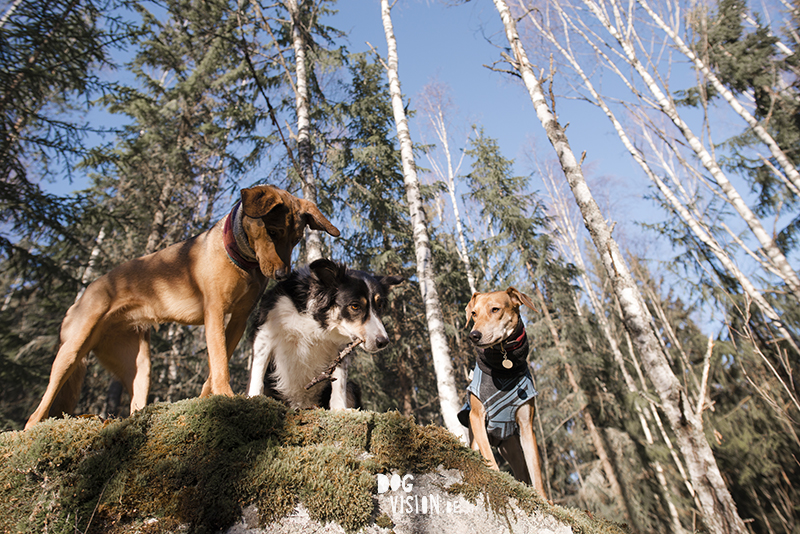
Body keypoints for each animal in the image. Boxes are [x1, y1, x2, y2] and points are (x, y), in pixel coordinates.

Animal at [25, 186, 338, 430]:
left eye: (296, 239)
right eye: (273, 231)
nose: (283, 275)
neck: (239, 257)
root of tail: (82, 296)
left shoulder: (237, 320)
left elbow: (215, 367)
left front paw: (208, 400)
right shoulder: (214, 313)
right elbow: (219, 363)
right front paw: (226, 395)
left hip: (139, 365)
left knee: (135, 403)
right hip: (71, 352)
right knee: (38, 409)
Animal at [460, 288, 548, 502]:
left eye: (495, 309)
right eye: (473, 313)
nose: (474, 335)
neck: (503, 368)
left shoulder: (526, 426)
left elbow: (536, 471)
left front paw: (545, 500)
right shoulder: (476, 417)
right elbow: (490, 459)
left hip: (513, 450)